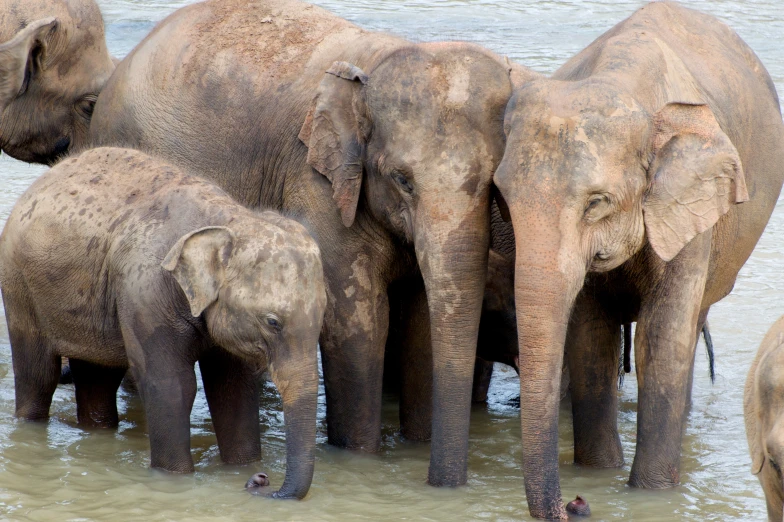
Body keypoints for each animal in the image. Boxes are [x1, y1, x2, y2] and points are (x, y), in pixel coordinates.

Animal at [0, 148, 324, 498]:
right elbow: (172, 386)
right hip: (19, 283)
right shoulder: (145, 291)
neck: (228, 219)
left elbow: (233, 388)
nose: (263, 480)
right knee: (38, 374)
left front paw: (240, 468)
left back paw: (98, 431)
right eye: (273, 322)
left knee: (98, 376)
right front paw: (177, 480)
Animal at [86, 0, 540, 486]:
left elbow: (421, 323)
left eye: (494, 182)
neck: (379, 61)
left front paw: (416, 446)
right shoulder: (316, 183)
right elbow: (357, 322)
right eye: (402, 180)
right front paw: (360, 457)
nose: (438, 483)